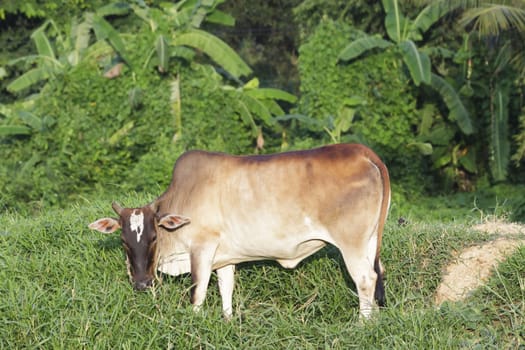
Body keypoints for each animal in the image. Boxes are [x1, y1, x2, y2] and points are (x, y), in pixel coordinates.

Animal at [88, 144, 388, 318]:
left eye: (153, 237)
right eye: (123, 241)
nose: (141, 283)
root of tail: (363, 151)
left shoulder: (202, 249)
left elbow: (197, 293)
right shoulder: (224, 259)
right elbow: (226, 291)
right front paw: (227, 320)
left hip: (352, 243)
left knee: (366, 280)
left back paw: (363, 325)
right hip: (370, 241)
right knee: (378, 275)